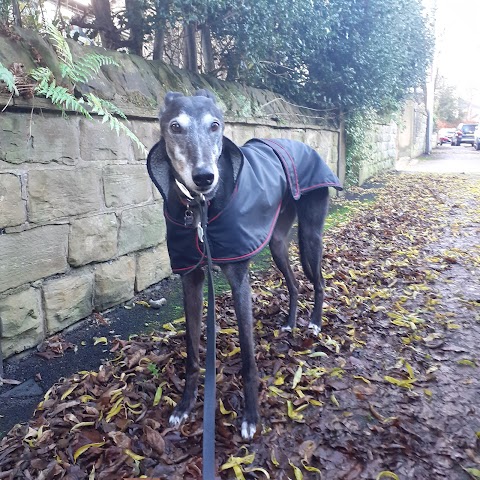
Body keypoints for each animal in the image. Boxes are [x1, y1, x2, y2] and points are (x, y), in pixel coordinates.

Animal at [146, 89, 342, 438]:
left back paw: (315, 323)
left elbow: (248, 357)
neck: (201, 208)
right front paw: (185, 406)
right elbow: (192, 353)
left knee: (318, 281)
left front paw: (251, 416)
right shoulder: (191, 279)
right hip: (277, 243)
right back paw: (290, 322)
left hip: (310, 235)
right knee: (294, 283)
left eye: (215, 125)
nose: (204, 177)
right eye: (175, 127)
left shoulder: (238, 278)